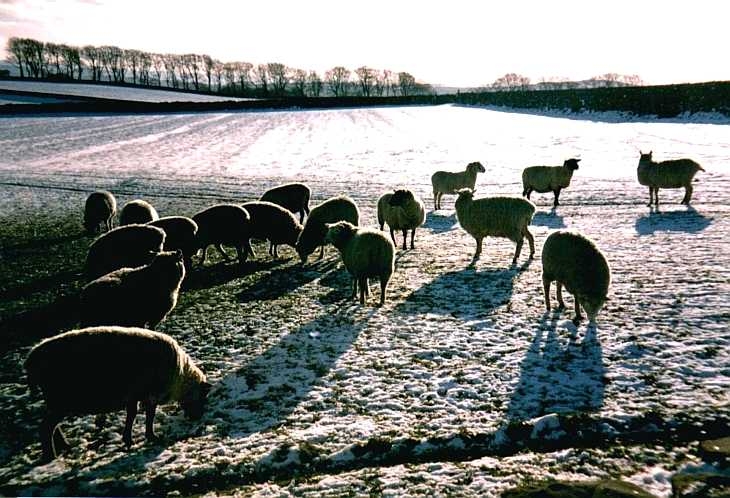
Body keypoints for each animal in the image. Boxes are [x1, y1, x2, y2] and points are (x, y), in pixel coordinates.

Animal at [24, 326, 210, 462]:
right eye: (202, 397)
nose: (197, 417)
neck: (181, 379)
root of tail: (31, 358)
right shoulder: (150, 394)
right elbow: (149, 415)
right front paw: (151, 436)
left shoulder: (134, 395)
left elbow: (132, 415)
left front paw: (128, 439)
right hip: (59, 400)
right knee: (46, 427)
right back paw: (51, 455)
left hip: (55, 401)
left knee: (53, 426)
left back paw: (65, 446)